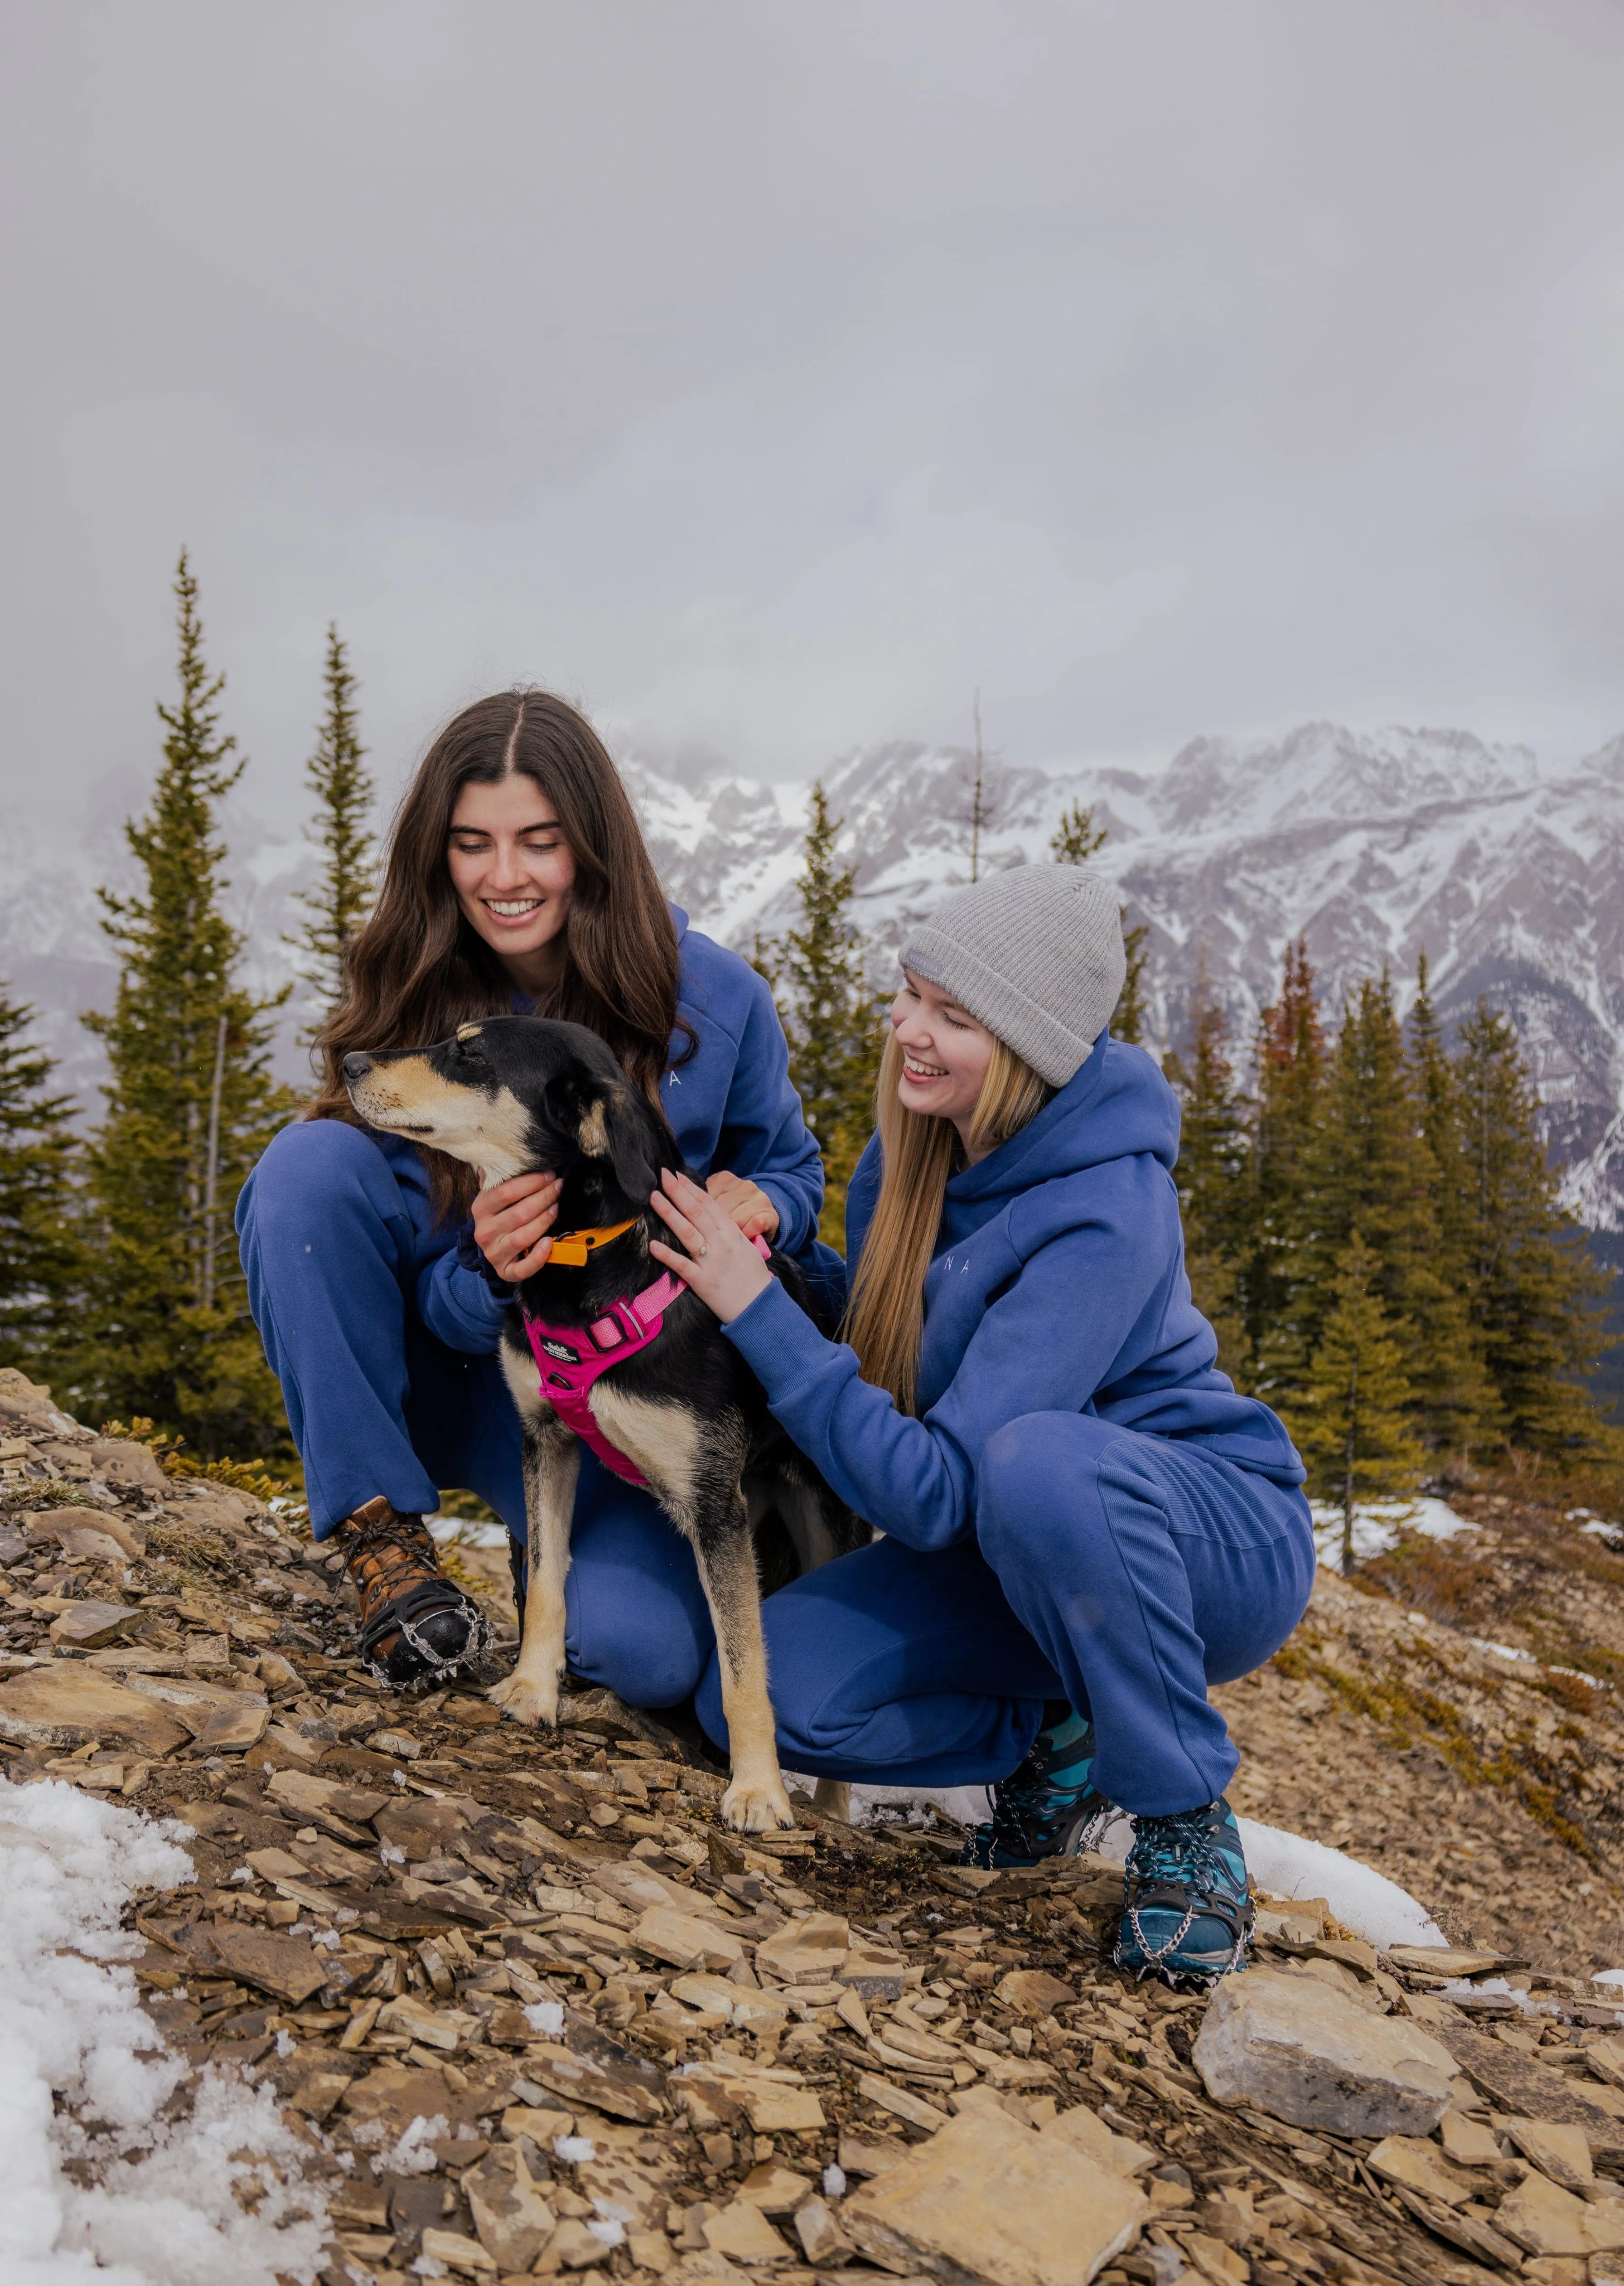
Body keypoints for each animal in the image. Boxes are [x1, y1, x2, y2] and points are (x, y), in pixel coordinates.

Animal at [340, 1010, 863, 1829]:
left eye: (470, 1052)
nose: (351, 1061)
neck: (587, 1261)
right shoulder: (545, 1442)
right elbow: (548, 1582)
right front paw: (532, 1689)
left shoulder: (715, 1507)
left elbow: (743, 1664)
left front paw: (756, 1788)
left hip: (819, 1520)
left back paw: (832, 1805)